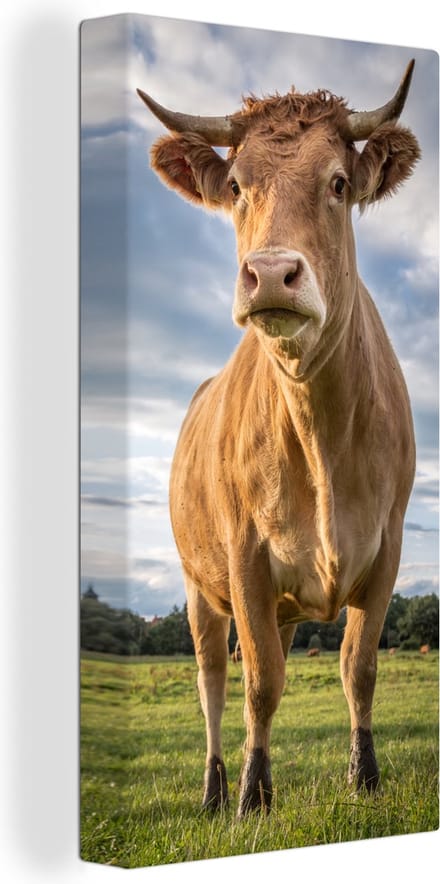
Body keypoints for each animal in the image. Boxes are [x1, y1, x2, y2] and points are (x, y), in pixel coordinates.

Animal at [137, 60, 419, 817]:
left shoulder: (386, 548)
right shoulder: (244, 558)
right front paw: (248, 797)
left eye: (340, 182)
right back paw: (213, 788)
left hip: (286, 601)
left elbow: (358, 667)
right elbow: (259, 683)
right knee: (212, 680)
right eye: (236, 186)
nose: (269, 274)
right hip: (198, 588)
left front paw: (364, 776)